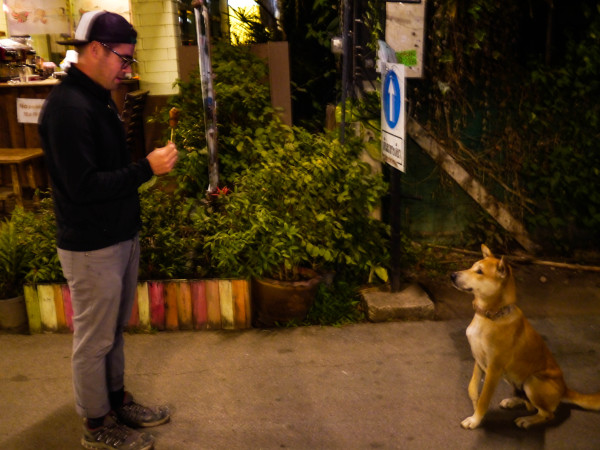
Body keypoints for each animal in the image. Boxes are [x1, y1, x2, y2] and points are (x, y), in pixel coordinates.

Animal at [450, 246, 600, 428]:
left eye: (479, 272)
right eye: (472, 267)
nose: (452, 275)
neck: (491, 316)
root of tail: (565, 388)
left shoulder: (494, 369)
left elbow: (484, 399)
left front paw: (475, 419)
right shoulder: (478, 360)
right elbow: (472, 388)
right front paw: (474, 408)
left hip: (532, 381)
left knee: (547, 413)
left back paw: (527, 420)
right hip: (512, 377)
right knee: (528, 402)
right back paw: (513, 401)